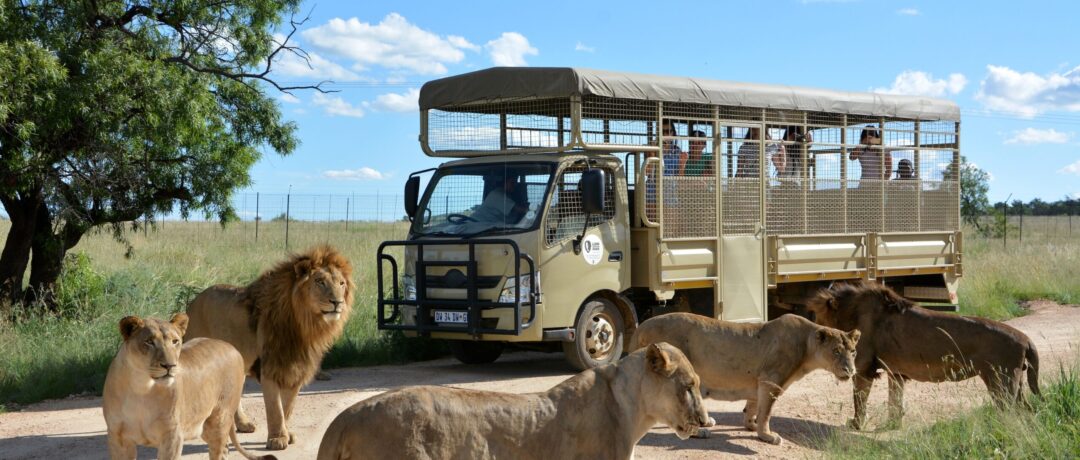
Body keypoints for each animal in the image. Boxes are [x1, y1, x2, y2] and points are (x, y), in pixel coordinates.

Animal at [102, 313, 275, 460]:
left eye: (175, 341)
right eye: (149, 342)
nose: (169, 365)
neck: (141, 387)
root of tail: (231, 346)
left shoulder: (172, 436)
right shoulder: (118, 437)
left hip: (218, 420)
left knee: (219, 450)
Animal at [184, 245, 355, 450]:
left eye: (341, 284)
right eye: (320, 282)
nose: (337, 302)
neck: (305, 326)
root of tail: (193, 302)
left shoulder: (296, 368)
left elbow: (287, 407)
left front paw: (287, 434)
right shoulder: (270, 368)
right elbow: (275, 408)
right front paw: (277, 439)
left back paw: (243, 424)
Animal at [629, 312, 860, 445]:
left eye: (853, 352)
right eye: (836, 351)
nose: (850, 371)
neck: (807, 346)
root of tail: (640, 327)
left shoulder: (759, 381)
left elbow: (753, 406)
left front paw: (751, 426)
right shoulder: (771, 381)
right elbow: (766, 412)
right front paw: (767, 436)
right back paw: (701, 432)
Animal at [807, 282, 1041, 430]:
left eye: (818, 318)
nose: (813, 336)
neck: (851, 313)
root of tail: (1026, 339)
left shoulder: (863, 369)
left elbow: (859, 400)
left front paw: (856, 424)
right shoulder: (895, 372)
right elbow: (895, 401)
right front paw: (892, 425)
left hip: (1001, 383)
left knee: (1011, 413)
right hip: (1014, 384)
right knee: (1028, 411)